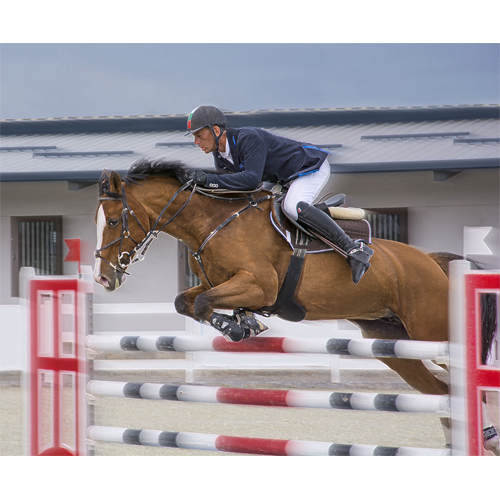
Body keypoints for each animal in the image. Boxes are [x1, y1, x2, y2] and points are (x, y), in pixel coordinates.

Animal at [93, 158, 496, 456]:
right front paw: (243, 323)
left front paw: (238, 327)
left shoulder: (259, 284)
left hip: (432, 333)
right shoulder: (218, 284)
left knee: (468, 384)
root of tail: (433, 262)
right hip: (394, 344)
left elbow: (205, 303)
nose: (103, 278)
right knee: (441, 391)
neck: (213, 222)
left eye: (113, 220)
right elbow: (186, 302)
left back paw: (487, 438)